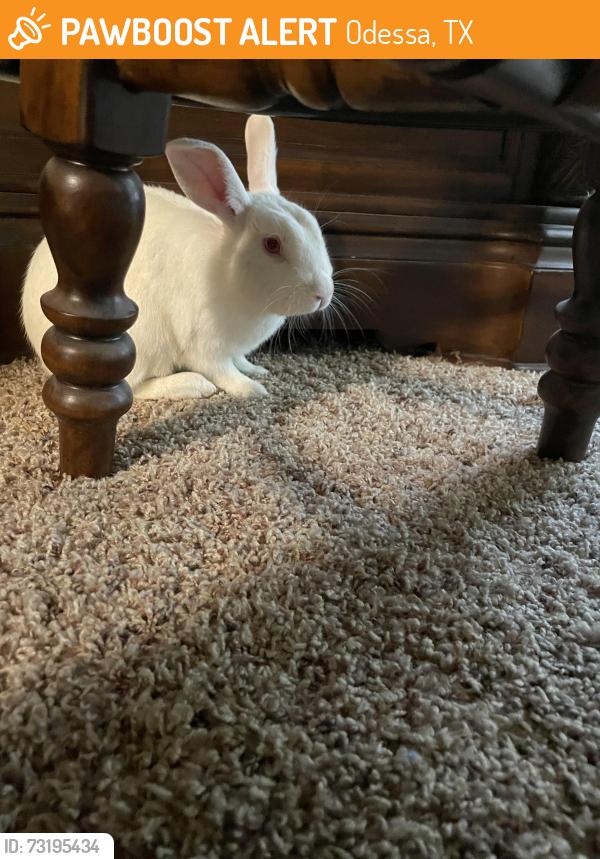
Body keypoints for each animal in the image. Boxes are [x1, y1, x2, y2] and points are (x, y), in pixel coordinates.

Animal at [21, 114, 334, 400]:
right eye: (272, 244)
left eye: (315, 227)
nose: (324, 295)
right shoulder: (205, 344)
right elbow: (223, 372)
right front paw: (252, 389)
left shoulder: (231, 348)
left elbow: (239, 361)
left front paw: (257, 371)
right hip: (139, 343)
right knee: (133, 387)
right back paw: (194, 385)